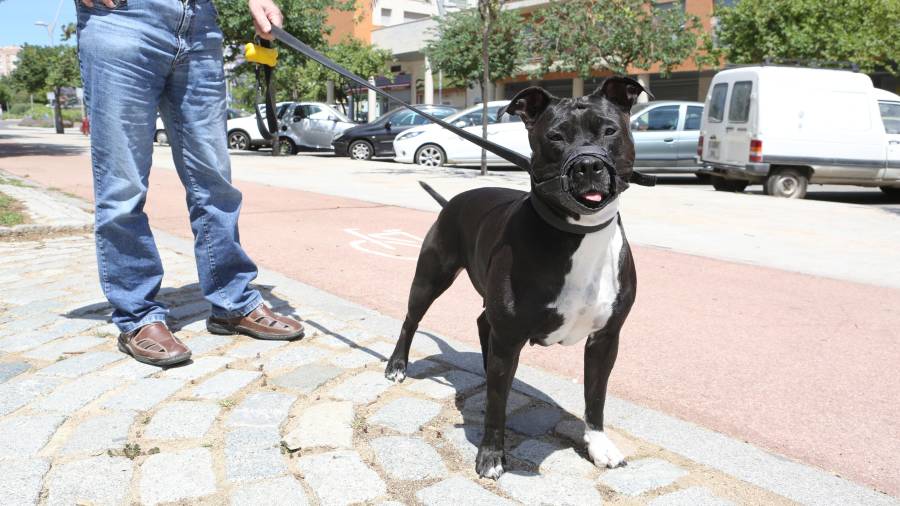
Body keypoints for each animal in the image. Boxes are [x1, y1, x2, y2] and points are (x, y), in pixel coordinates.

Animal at [384, 75, 652, 478]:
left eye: (609, 130)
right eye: (555, 136)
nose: (588, 165)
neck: (579, 234)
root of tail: (452, 201)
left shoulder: (605, 339)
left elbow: (596, 396)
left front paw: (598, 444)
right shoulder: (510, 336)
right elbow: (497, 405)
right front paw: (491, 455)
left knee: (484, 326)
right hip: (431, 277)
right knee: (411, 320)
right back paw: (398, 365)